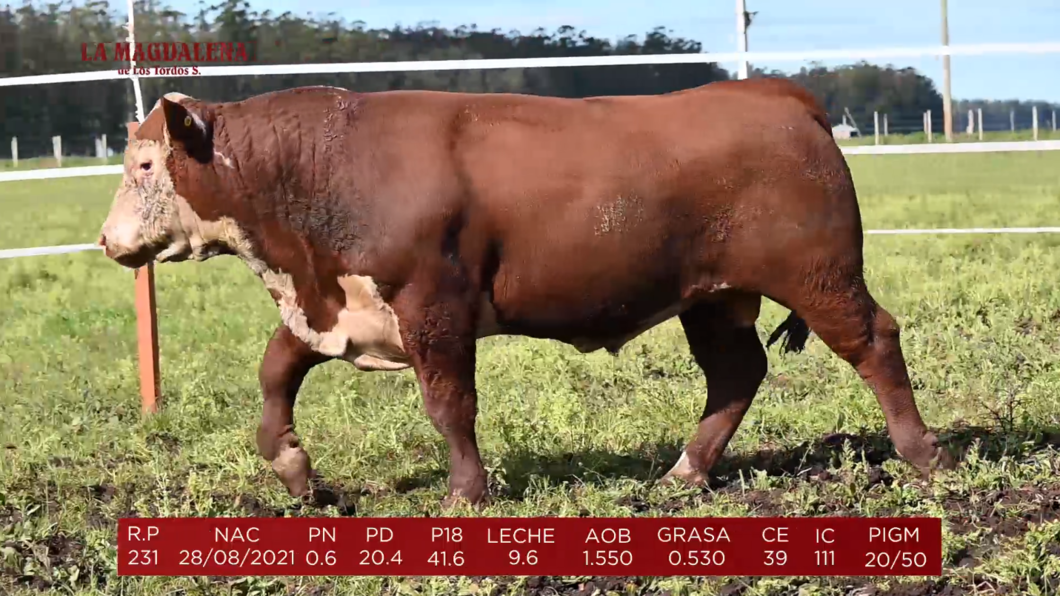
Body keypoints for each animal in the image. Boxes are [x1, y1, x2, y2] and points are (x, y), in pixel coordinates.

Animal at [99, 79, 958, 504]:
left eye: (143, 164)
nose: (109, 242)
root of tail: (774, 96)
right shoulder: (338, 305)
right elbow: (276, 372)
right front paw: (294, 469)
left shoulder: (432, 309)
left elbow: (450, 405)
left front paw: (466, 493)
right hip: (714, 298)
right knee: (737, 375)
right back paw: (684, 472)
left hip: (820, 276)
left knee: (875, 343)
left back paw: (924, 455)